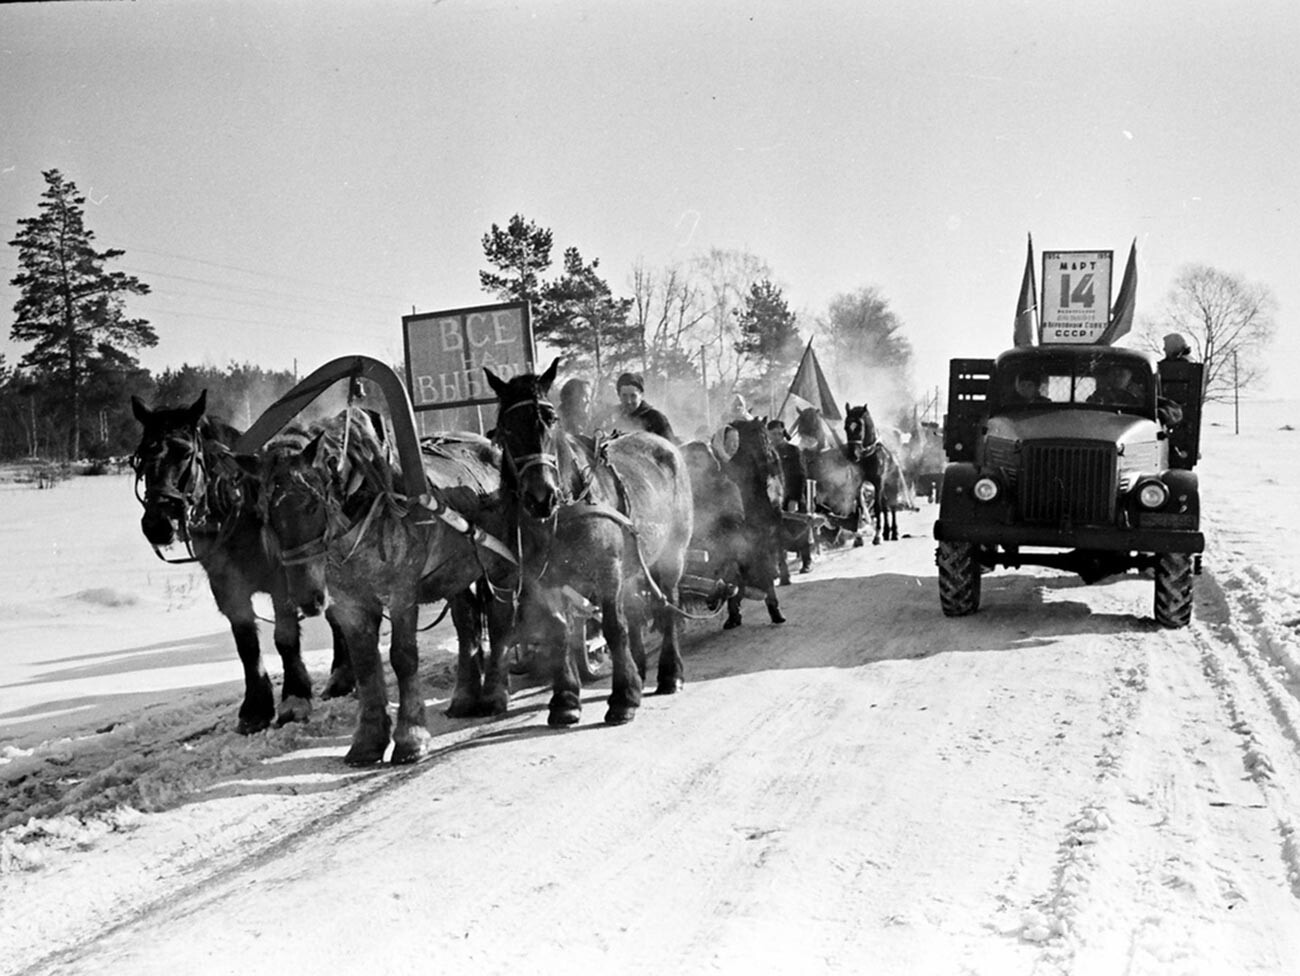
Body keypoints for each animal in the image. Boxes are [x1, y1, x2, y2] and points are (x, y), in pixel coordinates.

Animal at [129, 389, 353, 732]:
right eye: (140, 457)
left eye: (184, 452)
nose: (156, 525)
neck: (238, 511)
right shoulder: (227, 587)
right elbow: (246, 645)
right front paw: (255, 708)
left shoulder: (284, 581)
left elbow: (285, 639)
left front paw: (294, 699)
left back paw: (343, 674)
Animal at [250, 408, 514, 769]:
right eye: (267, 516)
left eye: (311, 505)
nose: (307, 599)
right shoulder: (348, 604)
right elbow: (364, 665)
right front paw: (368, 740)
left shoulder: (401, 592)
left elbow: (402, 657)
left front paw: (411, 738)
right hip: (455, 573)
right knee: (467, 622)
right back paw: (464, 697)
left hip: (500, 564)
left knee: (500, 619)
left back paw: (495, 695)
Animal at [486, 358, 691, 727]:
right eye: (506, 428)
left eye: (551, 419)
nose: (541, 497)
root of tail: (665, 445)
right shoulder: (544, 579)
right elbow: (559, 632)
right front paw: (565, 699)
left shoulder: (606, 570)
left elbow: (612, 627)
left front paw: (623, 699)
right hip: (634, 567)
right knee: (636, 611)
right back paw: (639, 670)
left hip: (671, 556)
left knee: (666, 605)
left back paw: (670, 674)